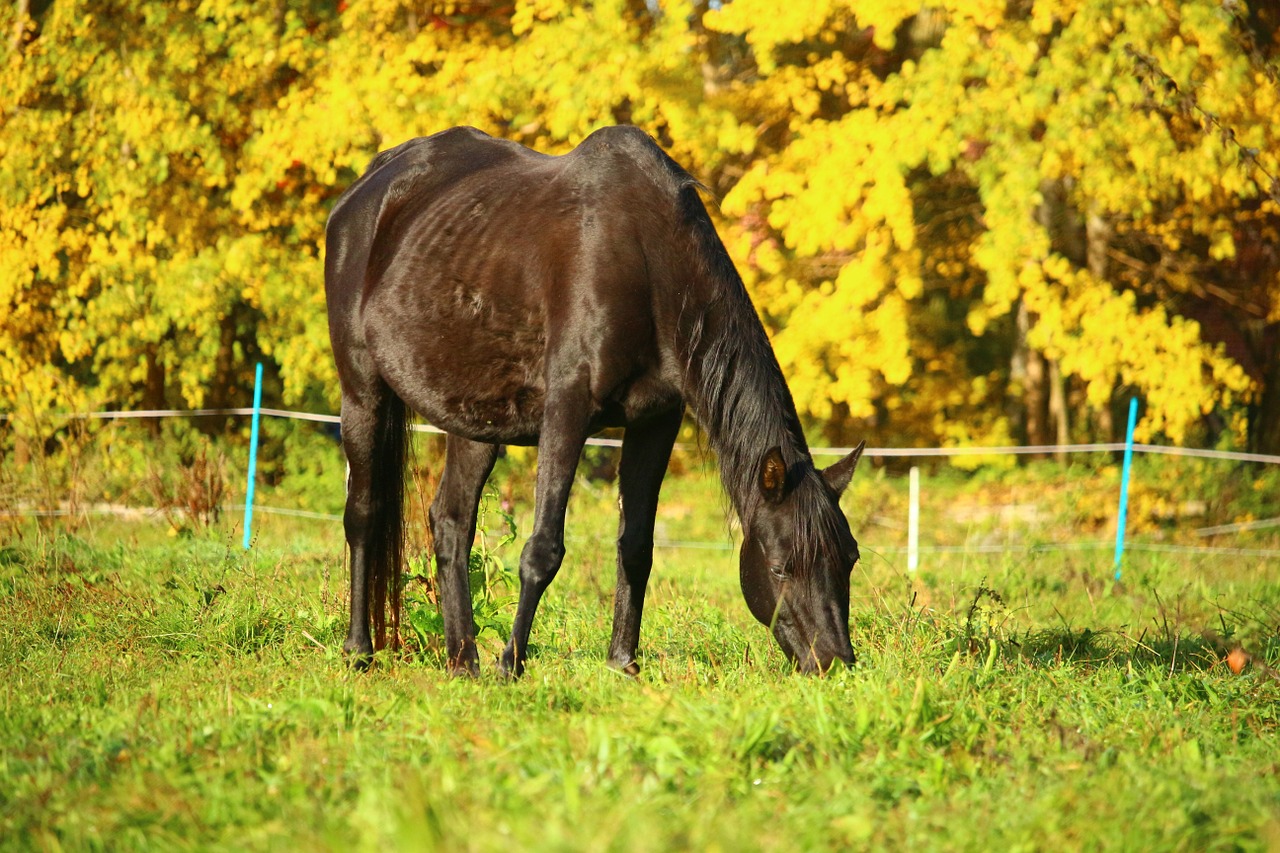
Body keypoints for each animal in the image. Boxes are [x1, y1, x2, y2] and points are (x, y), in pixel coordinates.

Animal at [327, 122, 870, 676]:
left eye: (849, 558)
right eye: (781, 567)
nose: (835, 661)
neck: (647, 261)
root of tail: (369, 187)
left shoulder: (656, 422)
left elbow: (637, 546)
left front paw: (622, 663)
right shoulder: (567, 412)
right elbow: (543, 549)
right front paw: (511, 666)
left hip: (474, 421)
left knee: (451, 523)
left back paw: (463, 662)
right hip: (362, 392)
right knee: (363, 513)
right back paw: (360, 650)